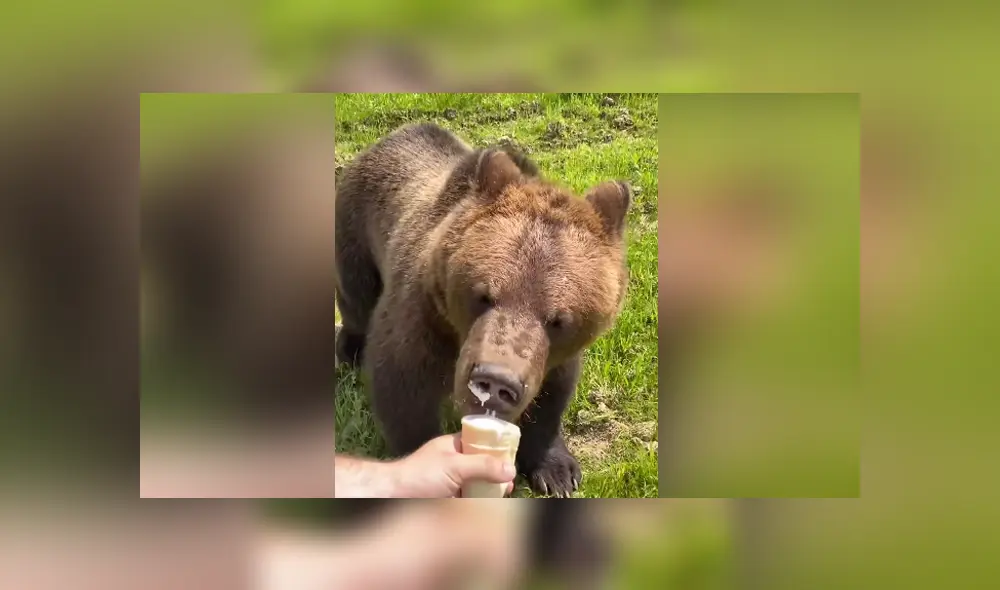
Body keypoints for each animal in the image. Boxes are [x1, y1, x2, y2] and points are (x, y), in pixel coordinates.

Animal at [335, 122, 630, 497]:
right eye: (483, 296)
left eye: (558, 320)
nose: (496, 380)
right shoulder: (423, 316)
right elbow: (404, 388)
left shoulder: (553, 356)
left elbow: (553, 394)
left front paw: (557, 473)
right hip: (355, 234)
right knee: (356, 301)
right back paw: (348, 350)